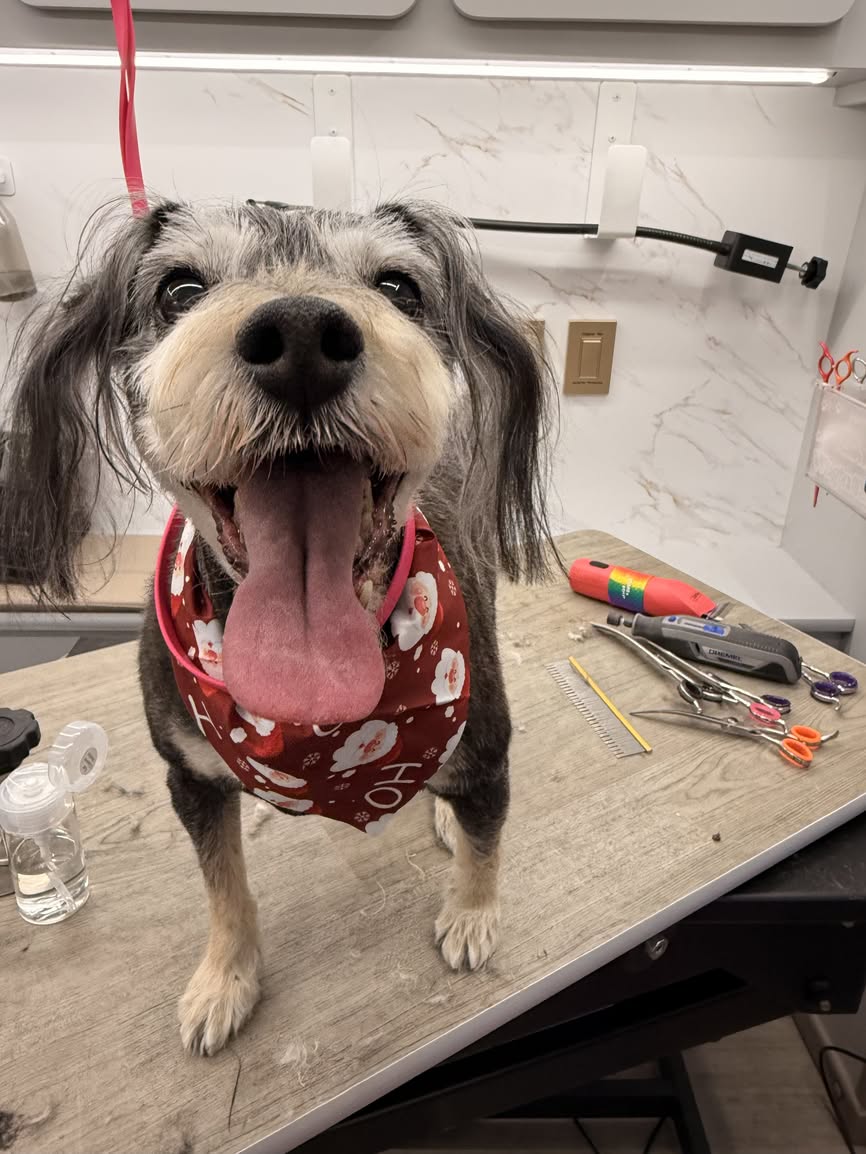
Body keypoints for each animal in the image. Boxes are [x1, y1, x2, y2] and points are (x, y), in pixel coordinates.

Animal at [2, 198, 554, 1055]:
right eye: (179, 287)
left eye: (398, 286)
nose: (300, 334)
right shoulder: (191, 777)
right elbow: (223, 887)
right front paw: (225, 978)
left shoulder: (488, 743)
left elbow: (488, 842)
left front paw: (471, 915)